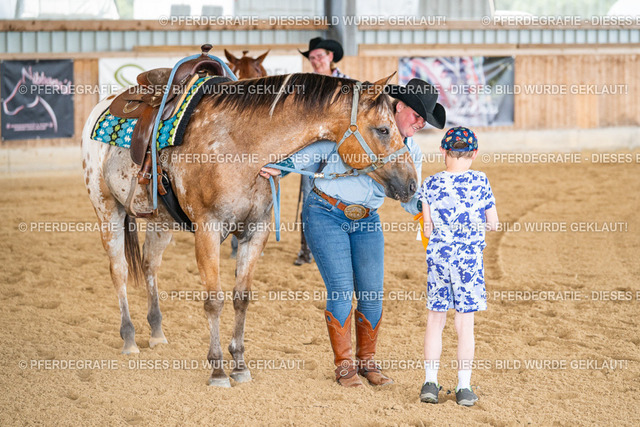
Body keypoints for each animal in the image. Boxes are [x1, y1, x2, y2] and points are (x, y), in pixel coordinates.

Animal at [81, 72, 418, 387]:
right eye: (383, 129)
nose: (412, 184)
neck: (243, 146)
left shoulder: (256, 232)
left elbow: (241, 298)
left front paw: (240, 366)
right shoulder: (207, 231)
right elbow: (214, 301)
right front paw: (218, 370)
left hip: (160, 221)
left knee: (150, 265)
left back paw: (157, 332)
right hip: (106, 210)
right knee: (120, 270)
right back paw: (129, 338)